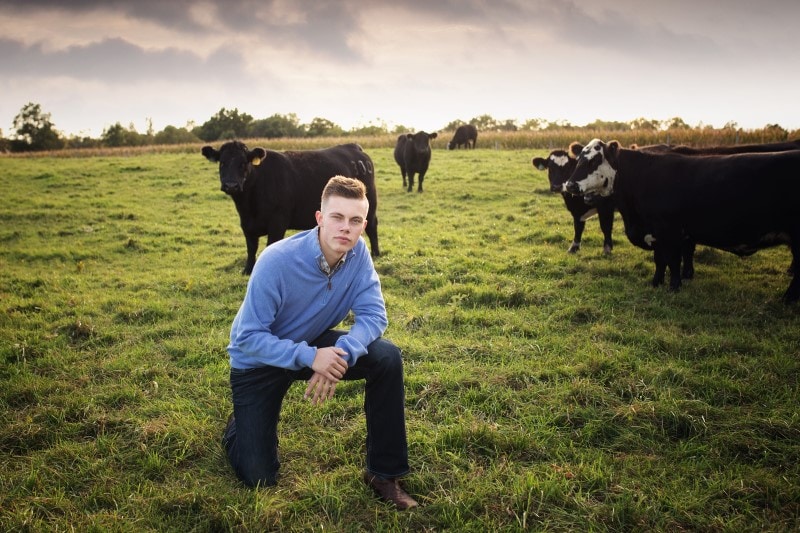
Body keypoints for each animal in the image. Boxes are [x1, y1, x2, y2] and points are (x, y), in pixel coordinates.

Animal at [198, 140, 376, 274]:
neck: (249, 205)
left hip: (370, 203)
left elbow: (270, 245)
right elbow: (251, 247)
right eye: (222, 163)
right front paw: (248, 270)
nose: (231, 185)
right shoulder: (246, 224)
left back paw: (376, 254)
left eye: (243, 163)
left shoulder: (278, 221)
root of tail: (352, 146)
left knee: (372, 226)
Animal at [564, 139, 800, 302]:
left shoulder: (670, 231)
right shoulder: (657, 234)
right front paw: (656, 283)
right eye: (578, 159)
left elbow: (673, 261)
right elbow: (660, 261)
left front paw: (674, 287)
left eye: (594, 160)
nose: (570, 185)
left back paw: (787, 299)